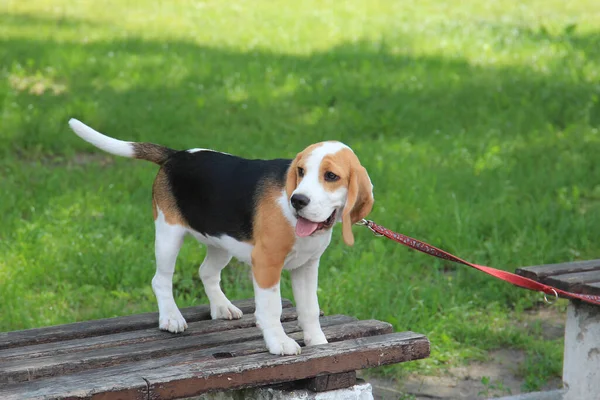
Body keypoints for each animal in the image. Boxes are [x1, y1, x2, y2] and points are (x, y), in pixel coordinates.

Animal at [68, 119, 372, 356]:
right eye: (300, 172)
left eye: (331, 176)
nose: (297, 200)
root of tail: (176, 155)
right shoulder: (266, 263)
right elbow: (271, 308)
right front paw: (279, 343)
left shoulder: (307, 267)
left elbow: (309, 308)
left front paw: (318, 342)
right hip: (168, 234)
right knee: (160, 280)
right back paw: (171, 317)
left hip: (222, 242)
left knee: (206, 272)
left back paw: (222, 306)